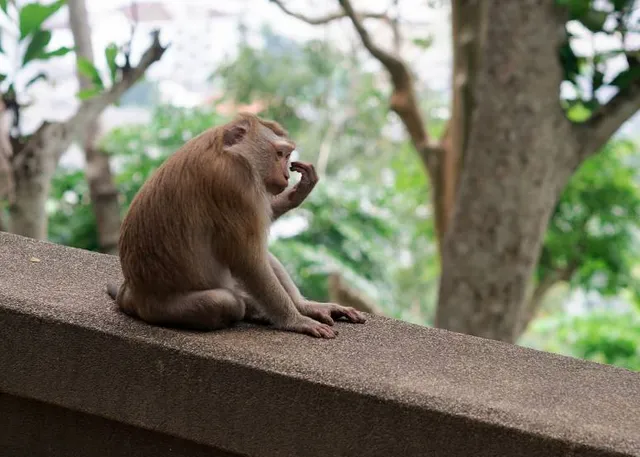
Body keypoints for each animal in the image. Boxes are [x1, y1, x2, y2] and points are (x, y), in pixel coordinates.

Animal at [106, 113, 366, 338]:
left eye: (288, 157)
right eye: (280, 153)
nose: (286, 176)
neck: (229, 151)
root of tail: (129, 294)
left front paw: (297, 193)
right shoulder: (234, 183)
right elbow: (248, 261)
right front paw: (295, 320)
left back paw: (304, 305)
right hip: (159, 309)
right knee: (227, 300)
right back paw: (257, 310)